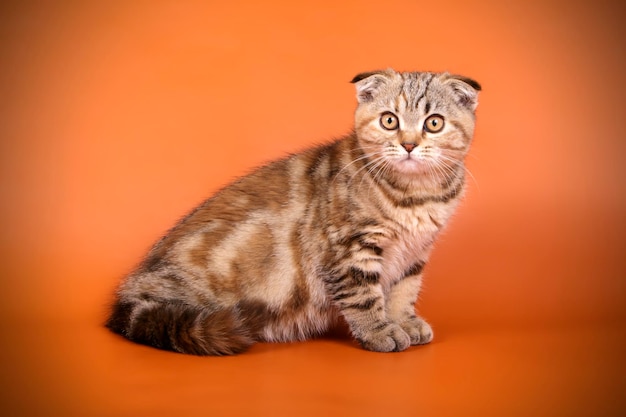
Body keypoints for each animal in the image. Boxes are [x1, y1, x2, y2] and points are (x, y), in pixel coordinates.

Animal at [106, 68, 478, 354]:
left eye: (433, 123)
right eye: (389, 120)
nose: (409, 144)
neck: (416, 196)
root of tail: (129, 298)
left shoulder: (415, 251)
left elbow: (404, 289)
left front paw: (403, 321)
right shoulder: (347, 249)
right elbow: (363, 296)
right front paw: (379, 331)